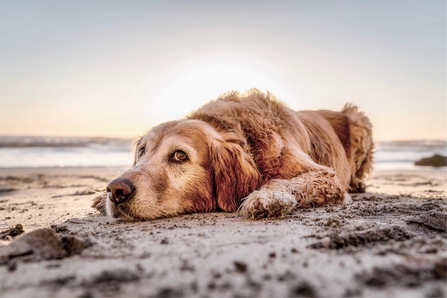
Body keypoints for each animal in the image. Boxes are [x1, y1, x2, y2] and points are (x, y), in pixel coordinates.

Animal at [93, 88, 374, 219]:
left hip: (358, 119)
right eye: (142, 151)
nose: (116, 190)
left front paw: (266, 197)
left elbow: (284, 181)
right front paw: (98, 198)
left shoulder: (327, 177)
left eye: (180, 156)